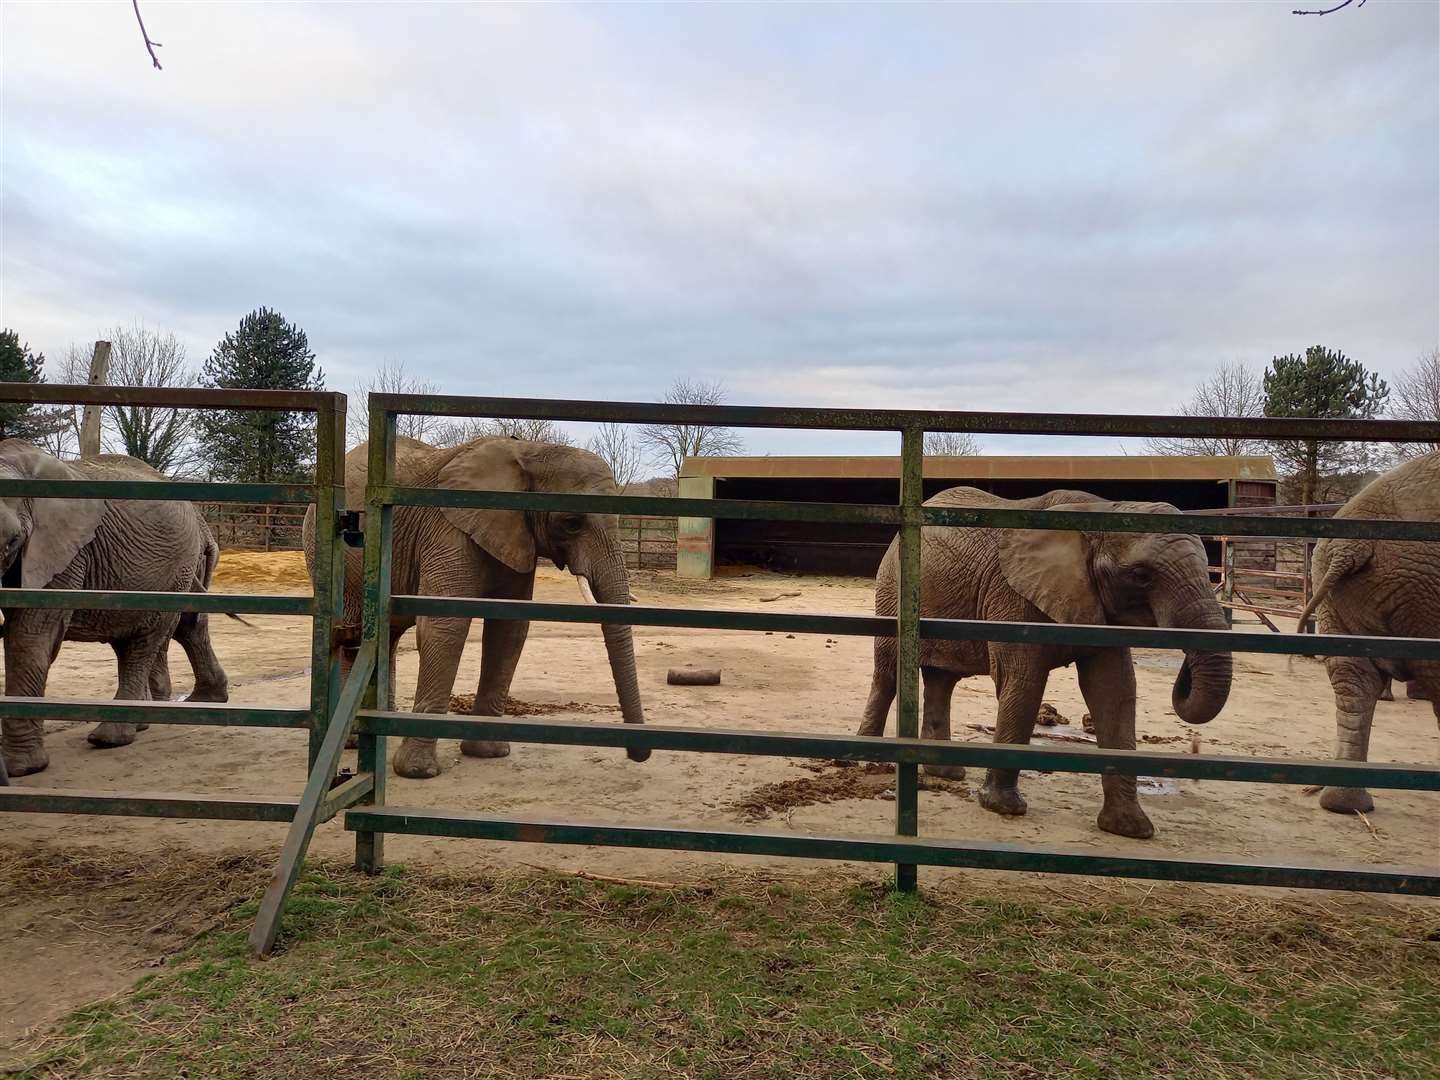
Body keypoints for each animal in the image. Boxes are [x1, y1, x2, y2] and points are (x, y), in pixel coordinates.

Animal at [0, 440, 230, 777]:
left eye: (12, 542)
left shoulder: (65, 553)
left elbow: (29, 634)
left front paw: (20, 768)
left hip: (174, 570)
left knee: (143, 641)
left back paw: (112, 737)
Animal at [306, 432, 650, 777]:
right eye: (571, 523)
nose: (637, 755)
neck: (528, 450)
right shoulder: (448, 529)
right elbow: (445, 626)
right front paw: (417, 771)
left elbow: (509, 629)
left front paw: (489, 753)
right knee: (355, 634)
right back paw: (353, 740)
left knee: (385, 637)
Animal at [858, 486, 1232, 840]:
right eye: (1141, 575)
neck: (1103, 511)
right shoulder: (1011, 592)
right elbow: (1024, 680)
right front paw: (1002, 808)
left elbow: (1113, 690)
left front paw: (1131, 828)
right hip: (893, 585)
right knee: (889, 671)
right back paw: (871, 759)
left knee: (943, 679)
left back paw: (946, 773)